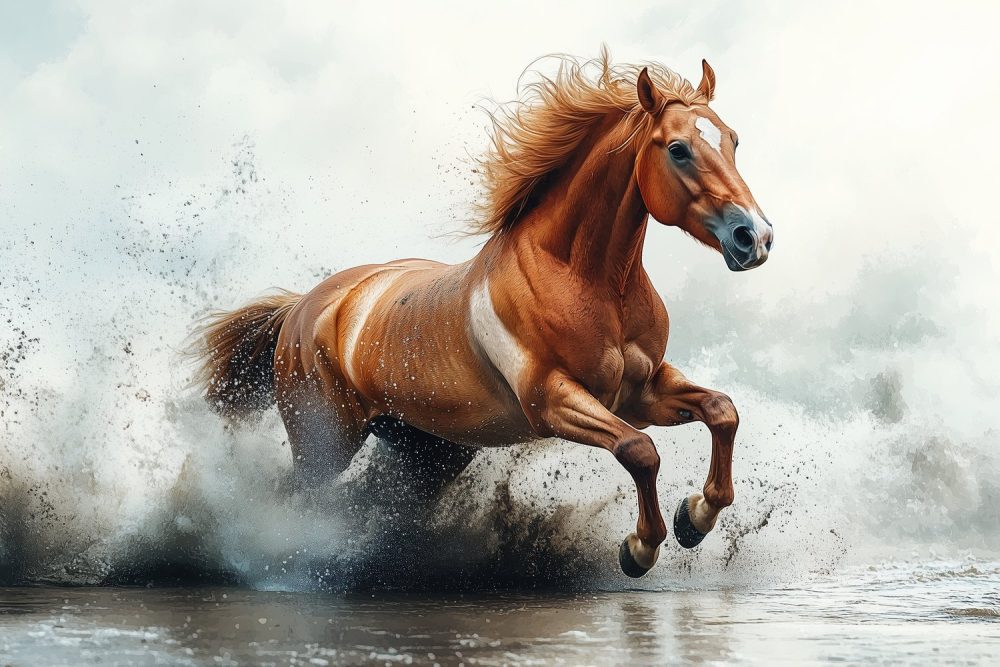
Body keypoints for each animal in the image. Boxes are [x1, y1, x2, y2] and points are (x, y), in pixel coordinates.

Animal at [192, 50, 773, 578]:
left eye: (733, 140)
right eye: (678, 149)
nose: (755, 237)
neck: (587, 279)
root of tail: (303, 308)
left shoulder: (639, 392)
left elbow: (721, 410)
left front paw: (694, 518)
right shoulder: (553, 401)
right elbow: (640, 450)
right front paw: (640, 548)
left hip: (428, 454)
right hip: (324, 444)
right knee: (295, 500)